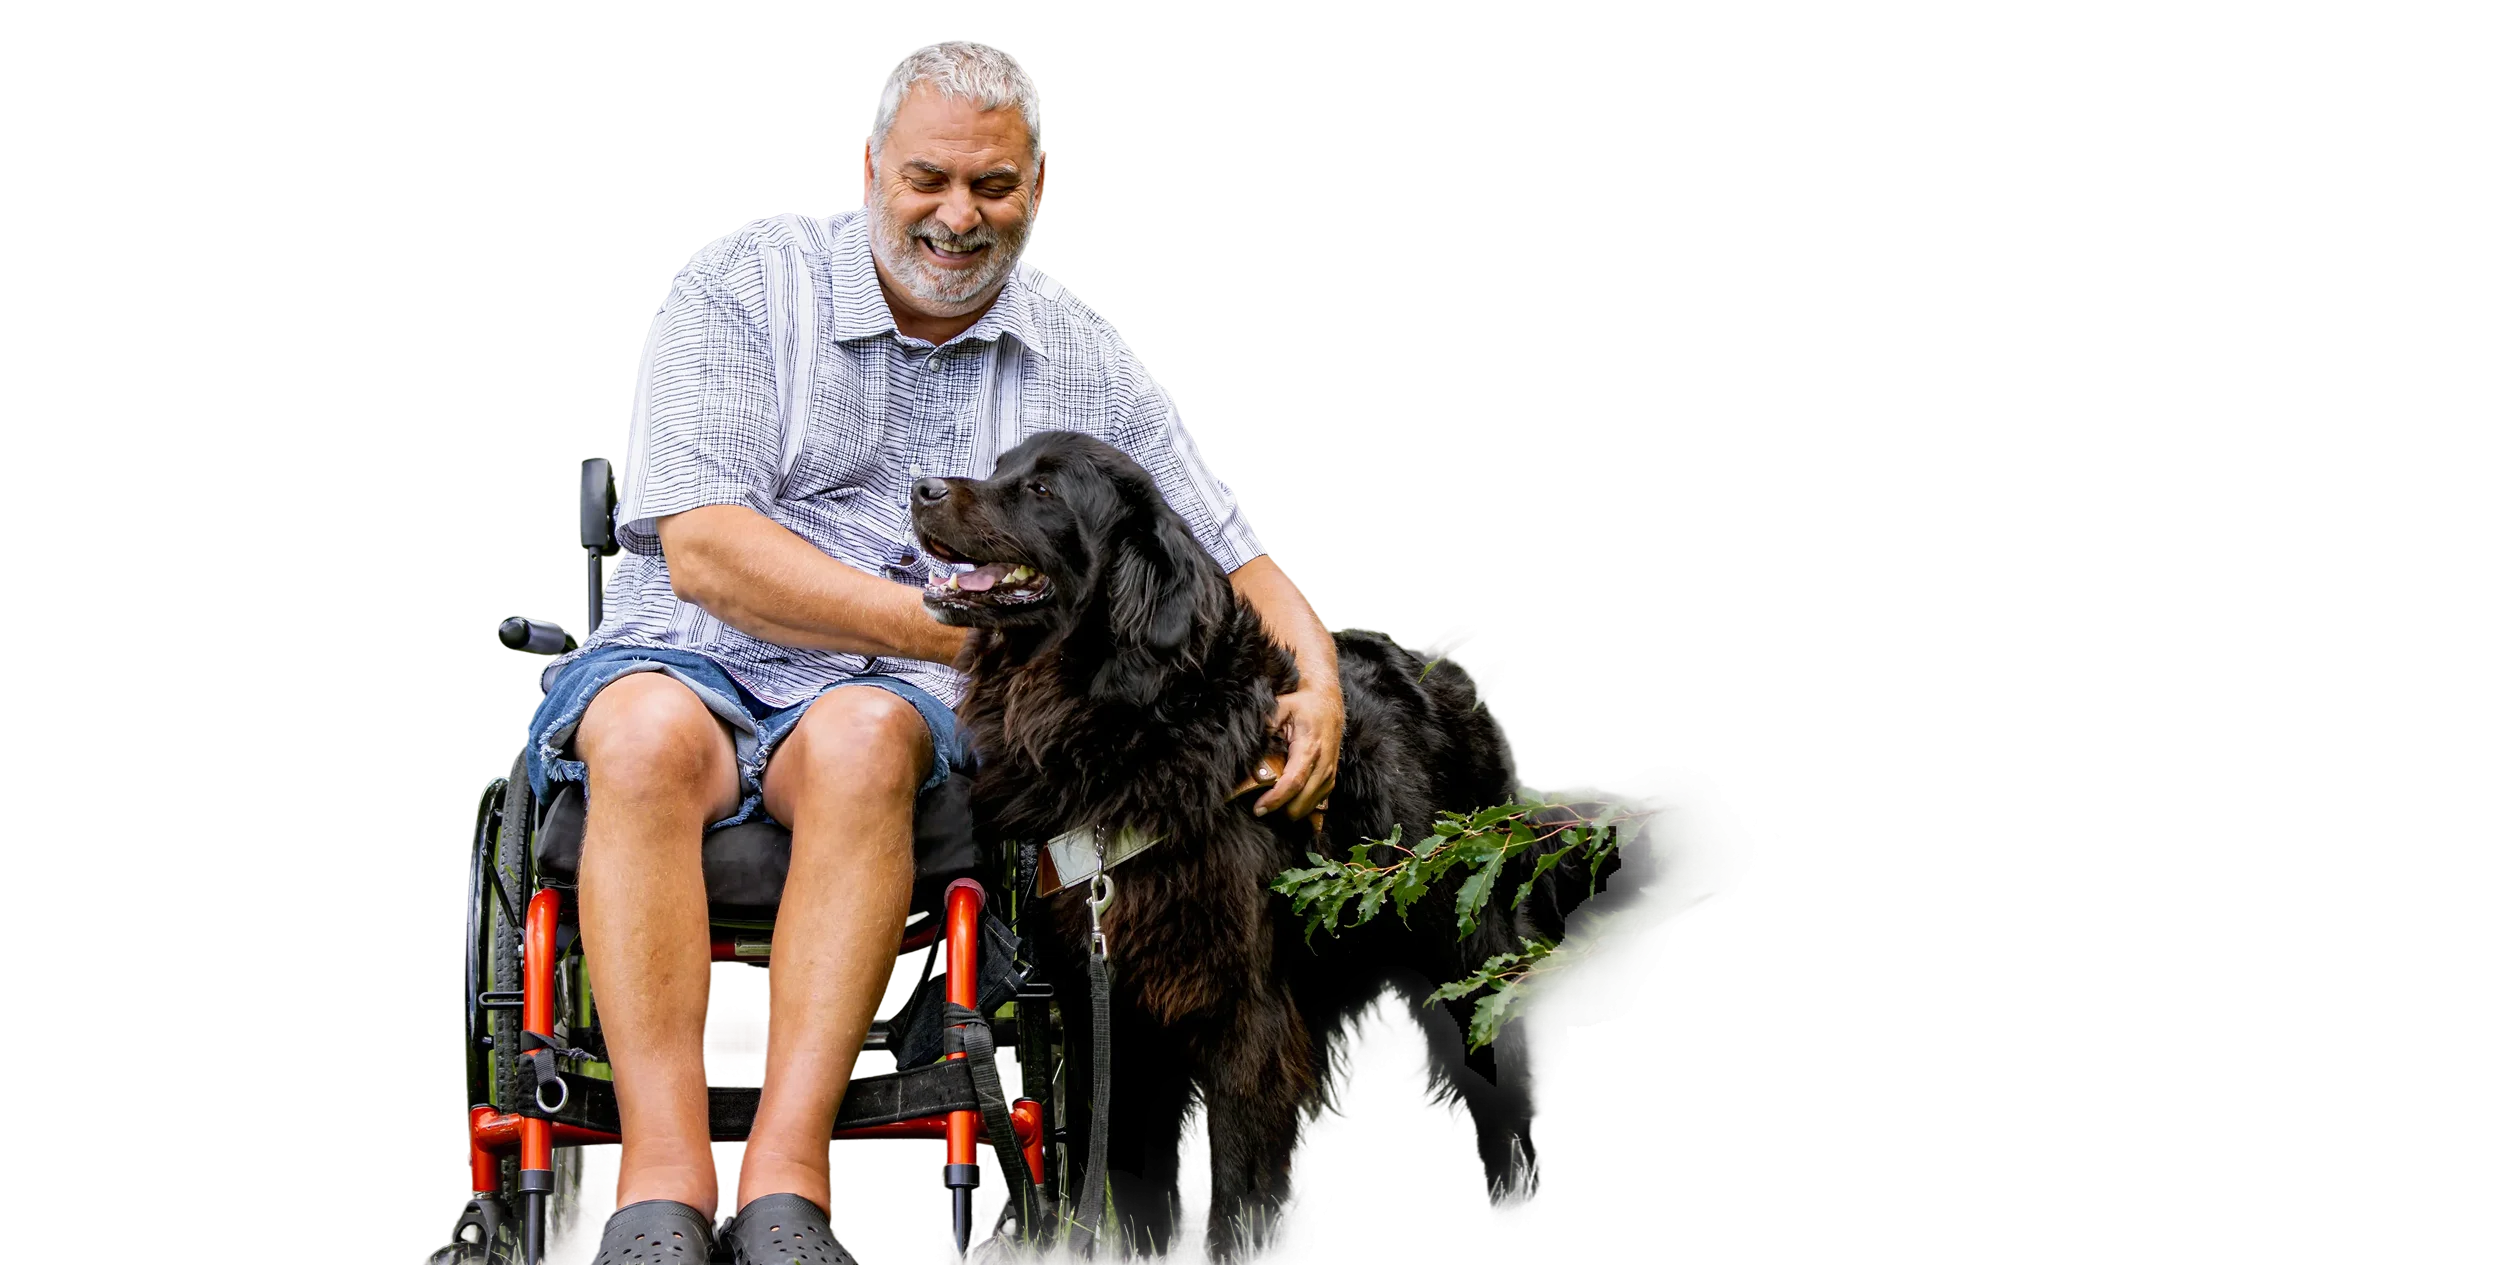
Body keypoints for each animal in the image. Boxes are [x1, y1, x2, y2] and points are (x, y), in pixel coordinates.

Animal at [910, 431, 1639, 1249]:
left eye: (1041, 490)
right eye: (999, 468)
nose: (921, 488)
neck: (1133, 726)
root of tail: (1457, 671)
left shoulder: (1242, 1002)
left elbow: (1236, 1168)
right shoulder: (1104, 997)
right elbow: (1126, 1156)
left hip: (1463, 945)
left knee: (1502, 1076)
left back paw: (1515, 1195)